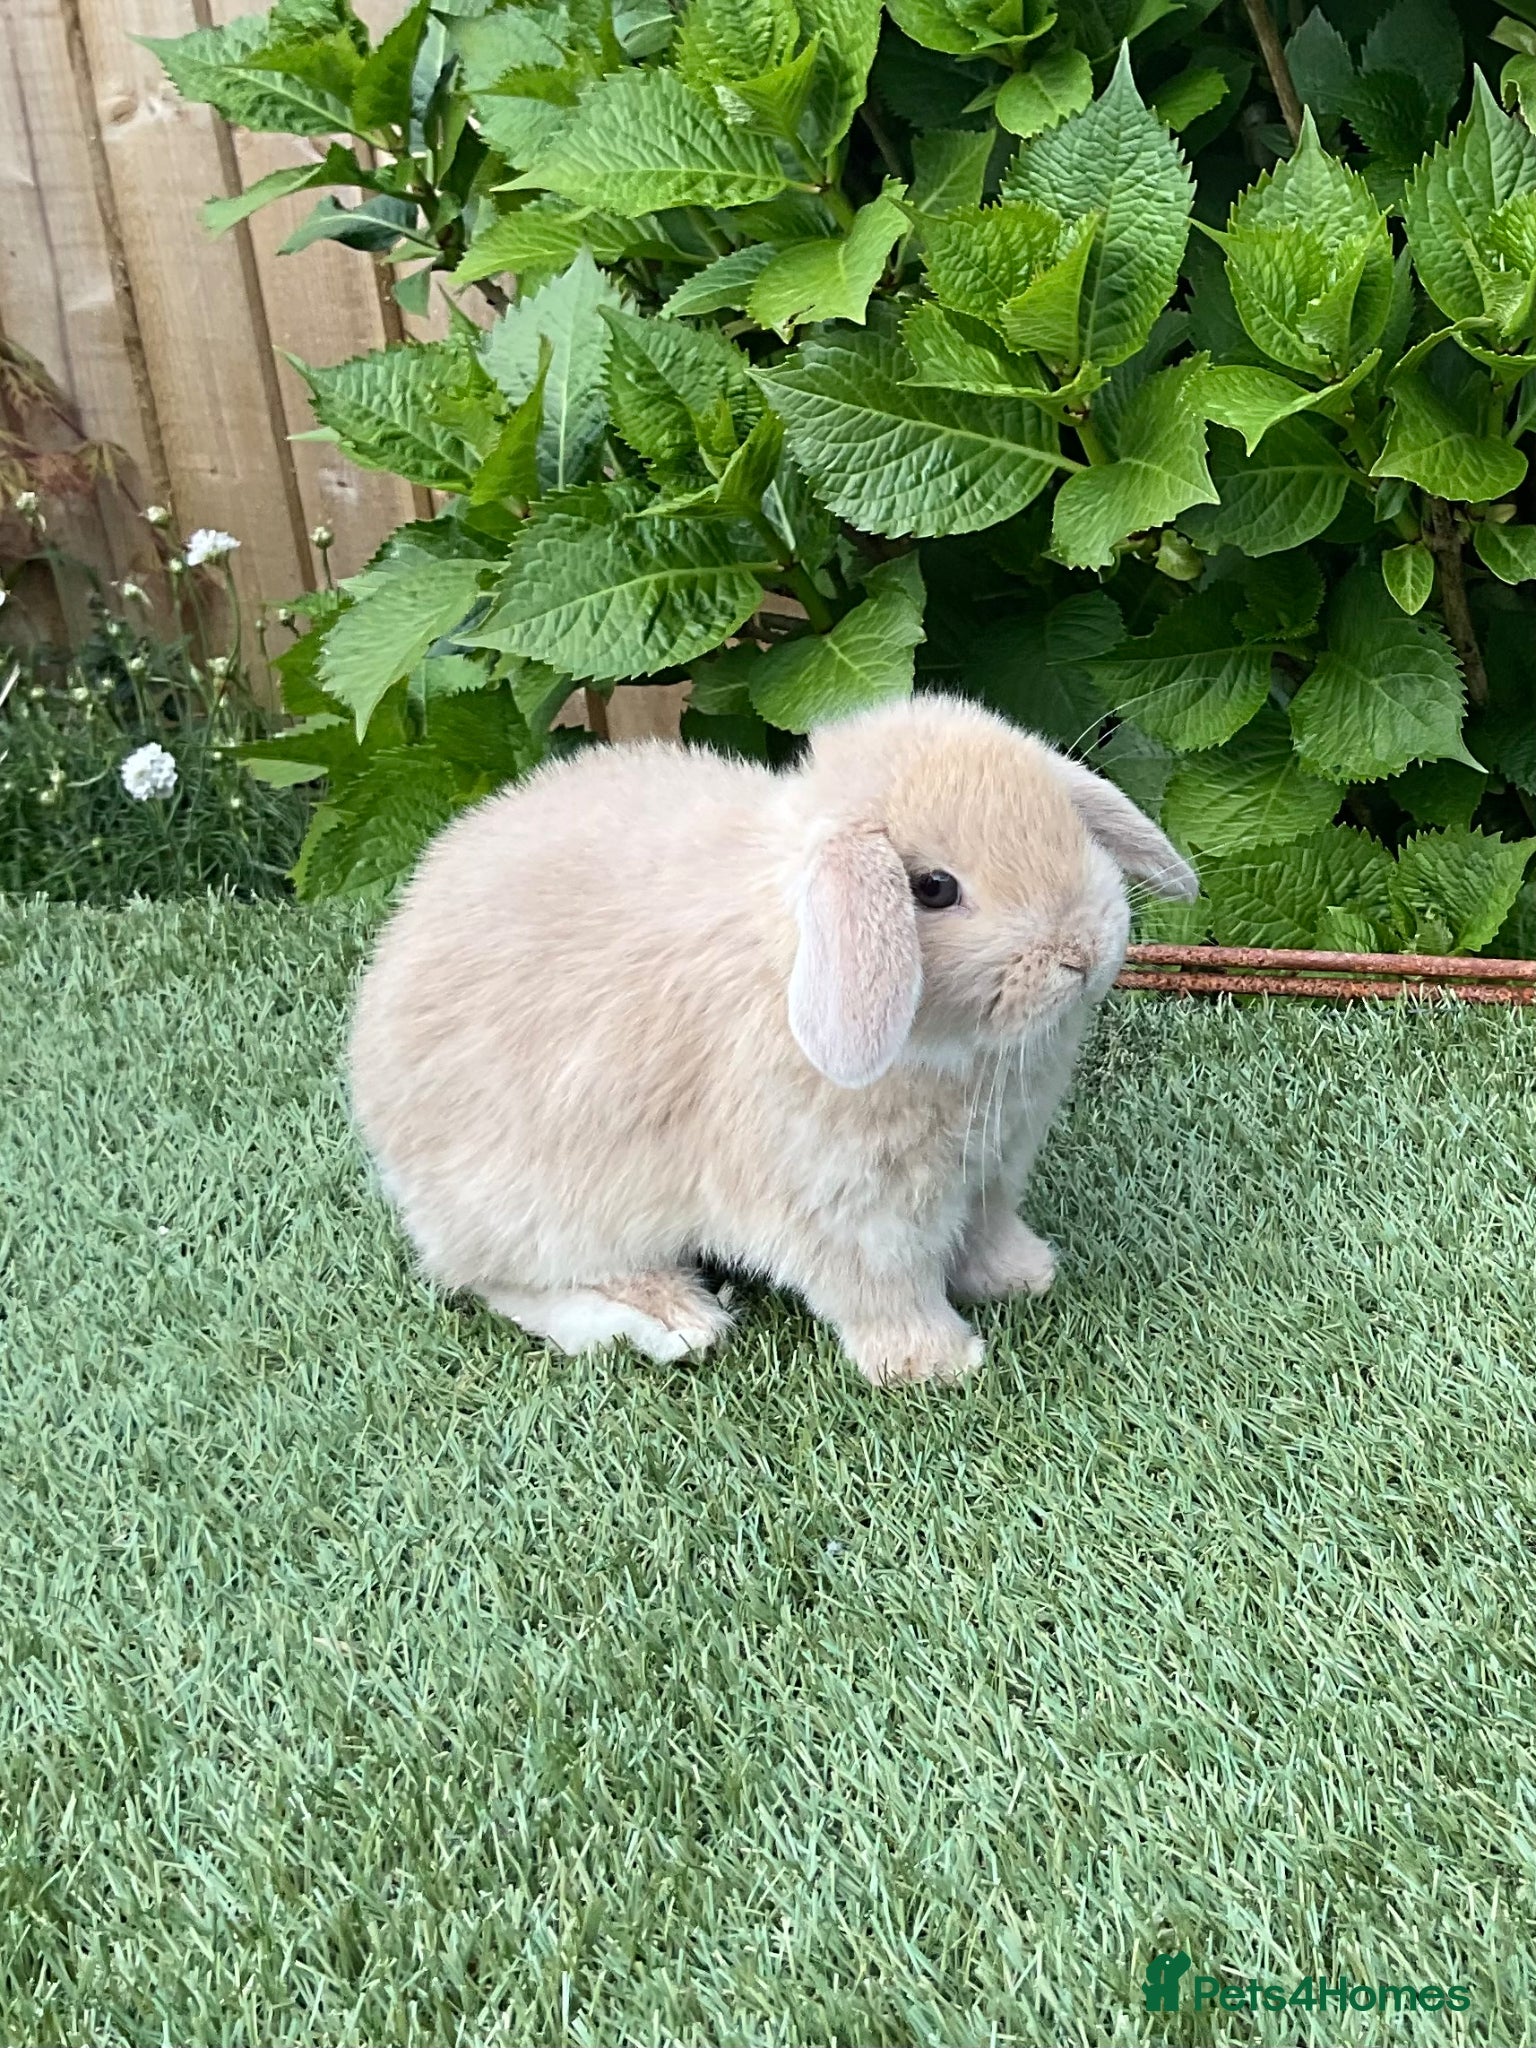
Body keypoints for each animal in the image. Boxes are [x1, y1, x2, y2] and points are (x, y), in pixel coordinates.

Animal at [348, 692, 1197, 1387]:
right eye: (933, 889)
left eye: (1070, 828)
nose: (1083, 951)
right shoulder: (854, 1212)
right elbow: (884, 1290)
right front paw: (936, 1363)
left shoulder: (988, 1173)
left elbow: (984, 1235)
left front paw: (1025, 1276)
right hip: (543, 1209)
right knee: (501, 1281)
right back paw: (675, 1318)